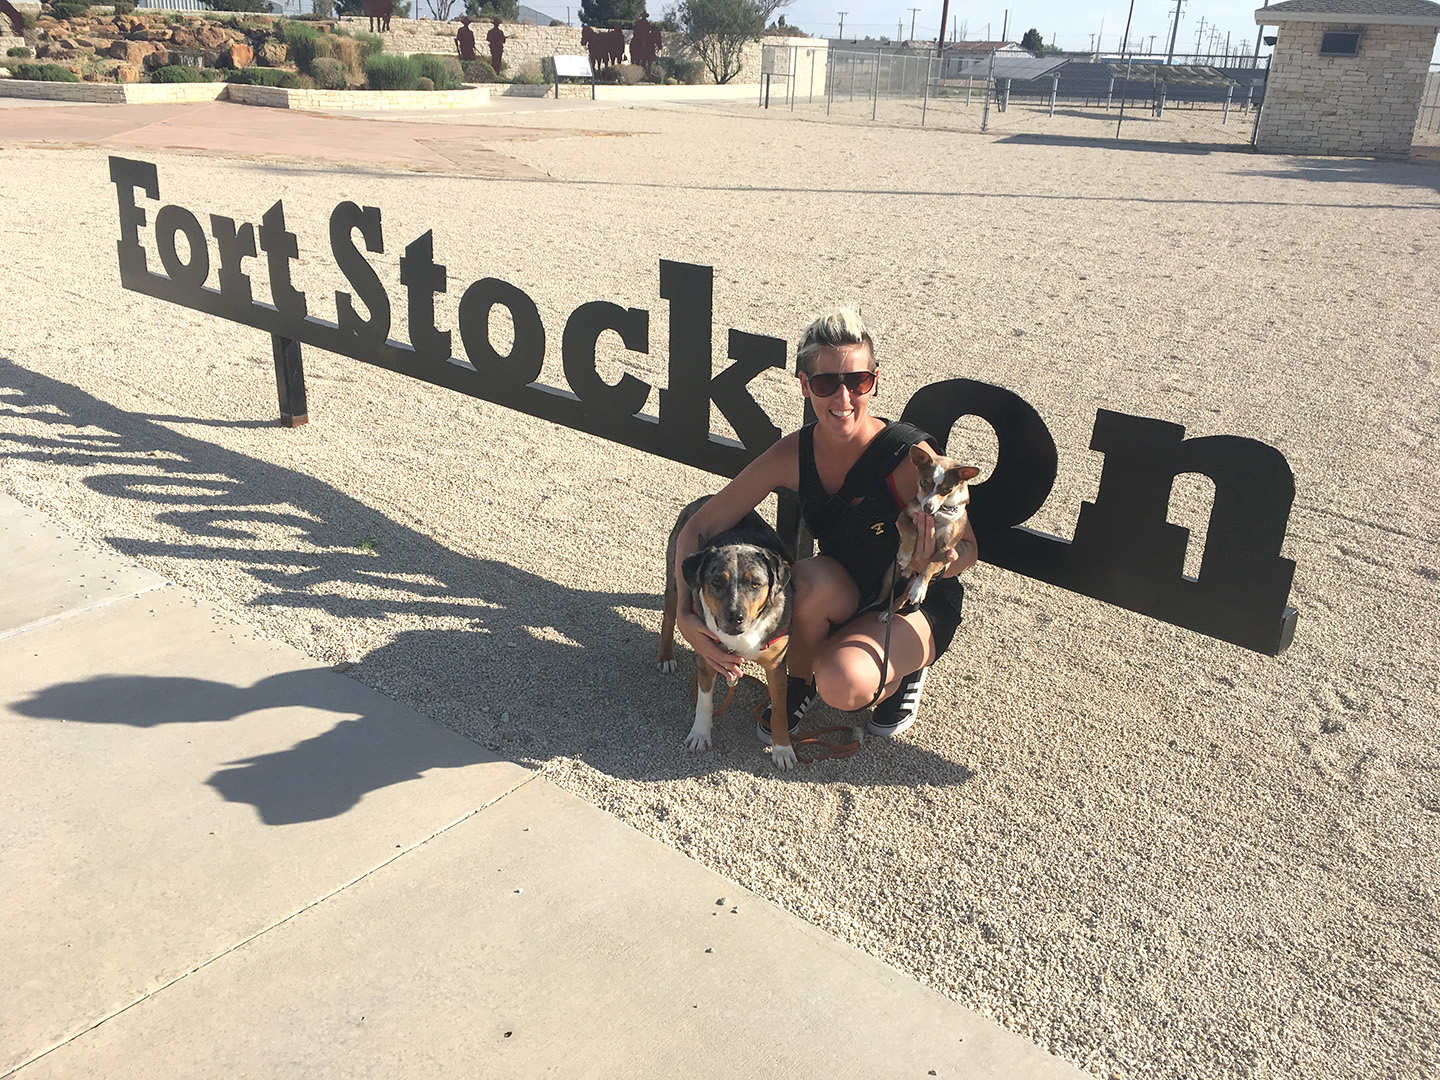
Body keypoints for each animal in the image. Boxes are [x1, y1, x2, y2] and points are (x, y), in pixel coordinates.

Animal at [656, 498, 800, 771]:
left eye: (755, 583)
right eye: (716, 582)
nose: (735, 616)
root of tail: (703, 499)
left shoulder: (776, 666)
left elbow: (779, 711)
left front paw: (782, 749)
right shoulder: (706, 655)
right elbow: (704, 700)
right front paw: (700, 734)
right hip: (675, 582)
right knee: (669, 618)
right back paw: (665, 657)